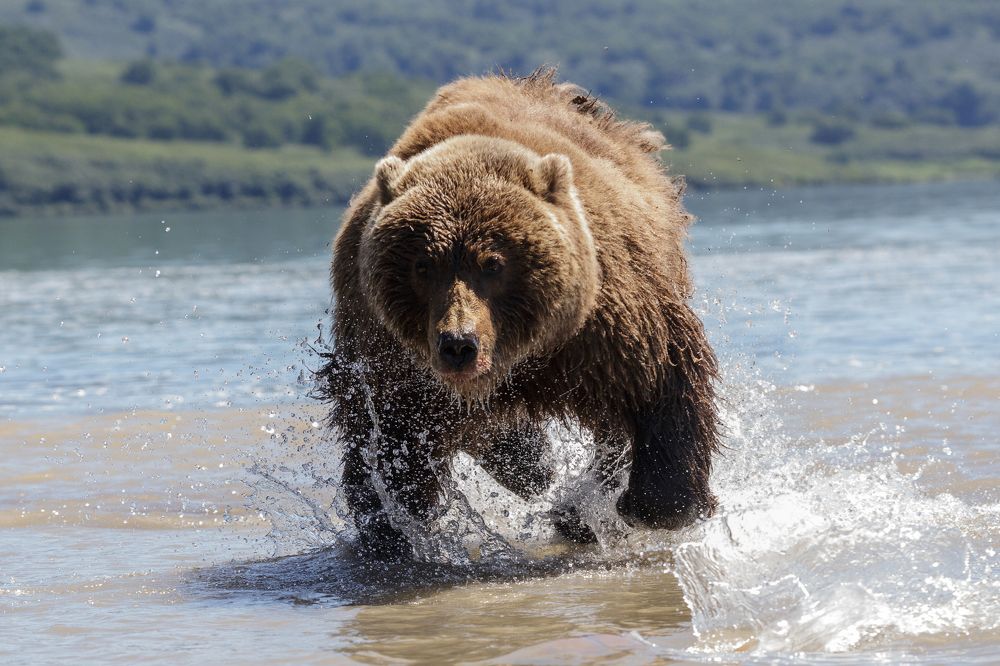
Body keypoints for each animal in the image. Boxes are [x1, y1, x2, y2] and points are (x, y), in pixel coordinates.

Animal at [318, 68, 720, 557]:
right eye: (423, 265)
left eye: (493, 264)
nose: (458, 344)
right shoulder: (388, 355)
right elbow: (386, 435)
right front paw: (392, 522)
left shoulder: (609, 326)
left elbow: (662, 382)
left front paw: (649, 505)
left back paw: (576, 507)